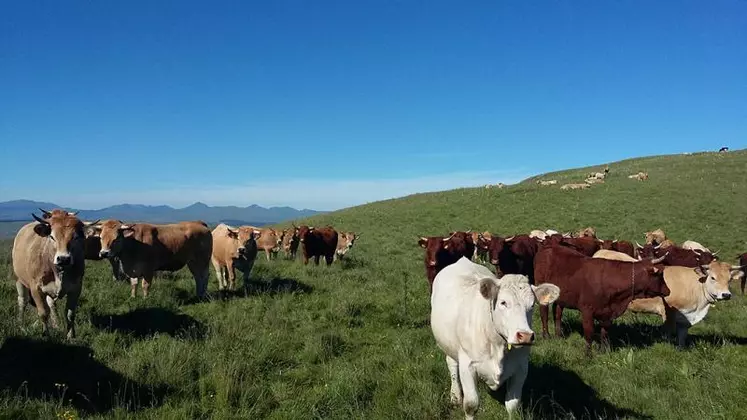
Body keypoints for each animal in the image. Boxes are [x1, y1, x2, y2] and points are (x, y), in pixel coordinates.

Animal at [11, 210, 92, 338]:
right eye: (52, 237)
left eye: (75, 237)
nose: (63, 259)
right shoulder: (36, 289)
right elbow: (43, 313)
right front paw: (46, 335)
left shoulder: (76, 288)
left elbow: (70, 314)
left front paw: (71, 336)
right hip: (19, 279)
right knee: (22, 301)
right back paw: (20, 323)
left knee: (51, 304)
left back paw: (56, 324)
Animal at [430, 258, 560, 418]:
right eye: (503, 302)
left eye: (532, 305)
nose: (525, 336)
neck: (498, 345)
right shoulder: (467, 365)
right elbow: (471, 405)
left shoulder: (521, 367)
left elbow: (512, 405)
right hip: (449, 345)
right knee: (452, 364)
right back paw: (455, 396)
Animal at [536, 244, 668, 356]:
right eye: (660, 274)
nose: (668, 291)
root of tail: (548, 247)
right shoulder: (587, 310)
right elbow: (589, 333)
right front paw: (588, 354)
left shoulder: (607, 313)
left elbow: (604, 332)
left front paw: (604, 351)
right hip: (543, 293)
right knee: (544, 314)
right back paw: (546, 335)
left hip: (561, 298)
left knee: (557, 314)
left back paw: (558, 335)